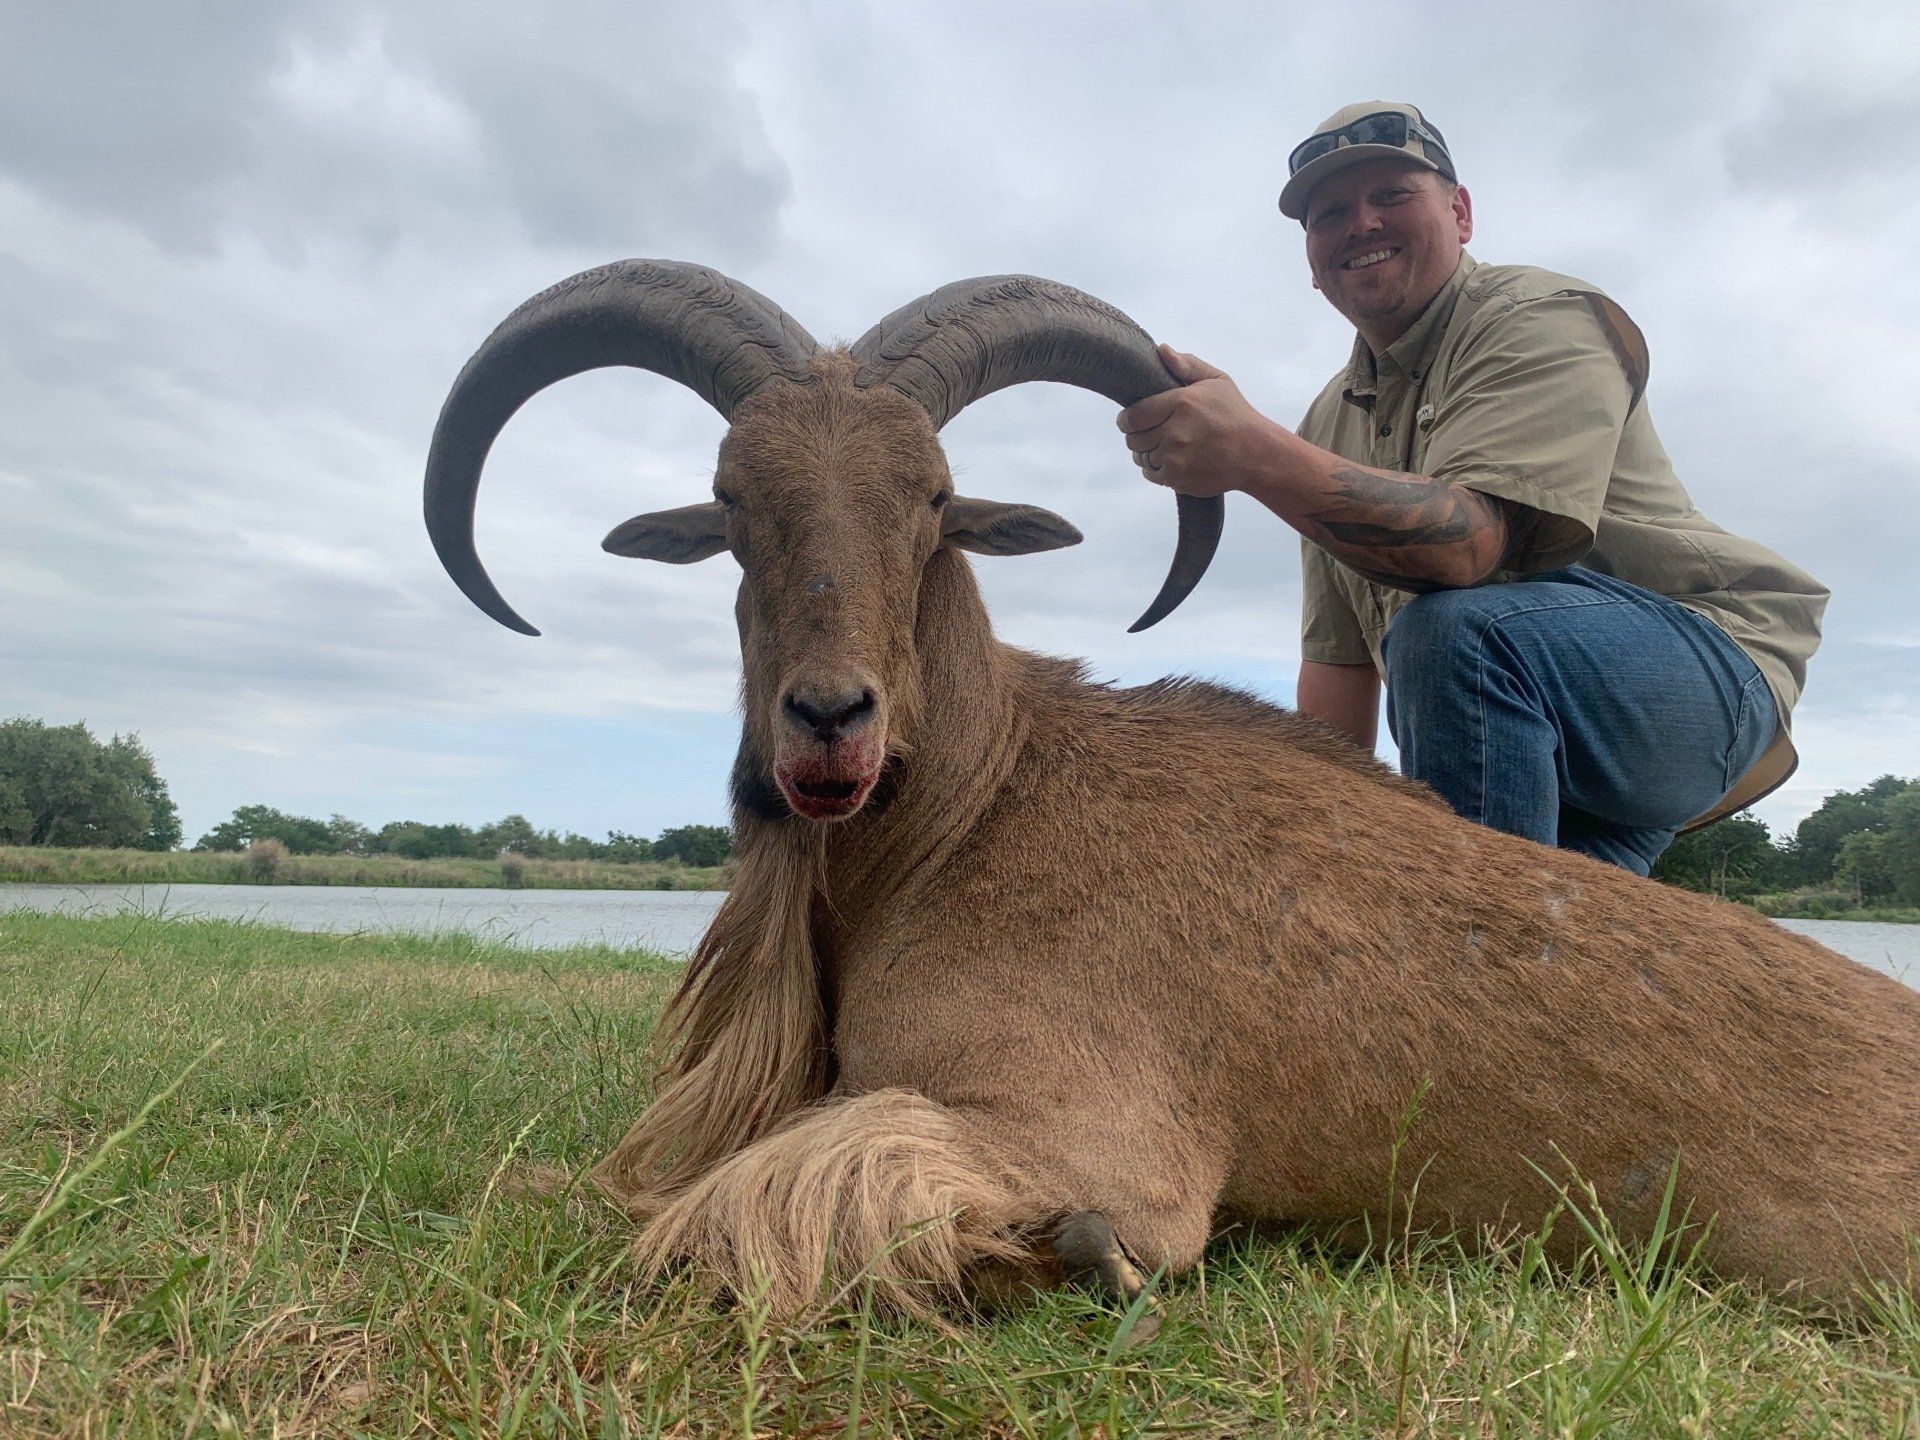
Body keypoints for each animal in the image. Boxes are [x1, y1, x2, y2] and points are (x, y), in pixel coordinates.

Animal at [424, 260, 1920, 1317]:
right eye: (735, 495)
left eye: (933, 496)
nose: (831, 726)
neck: (964, 823)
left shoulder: (1083, 1133)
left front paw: (1067, 1261)